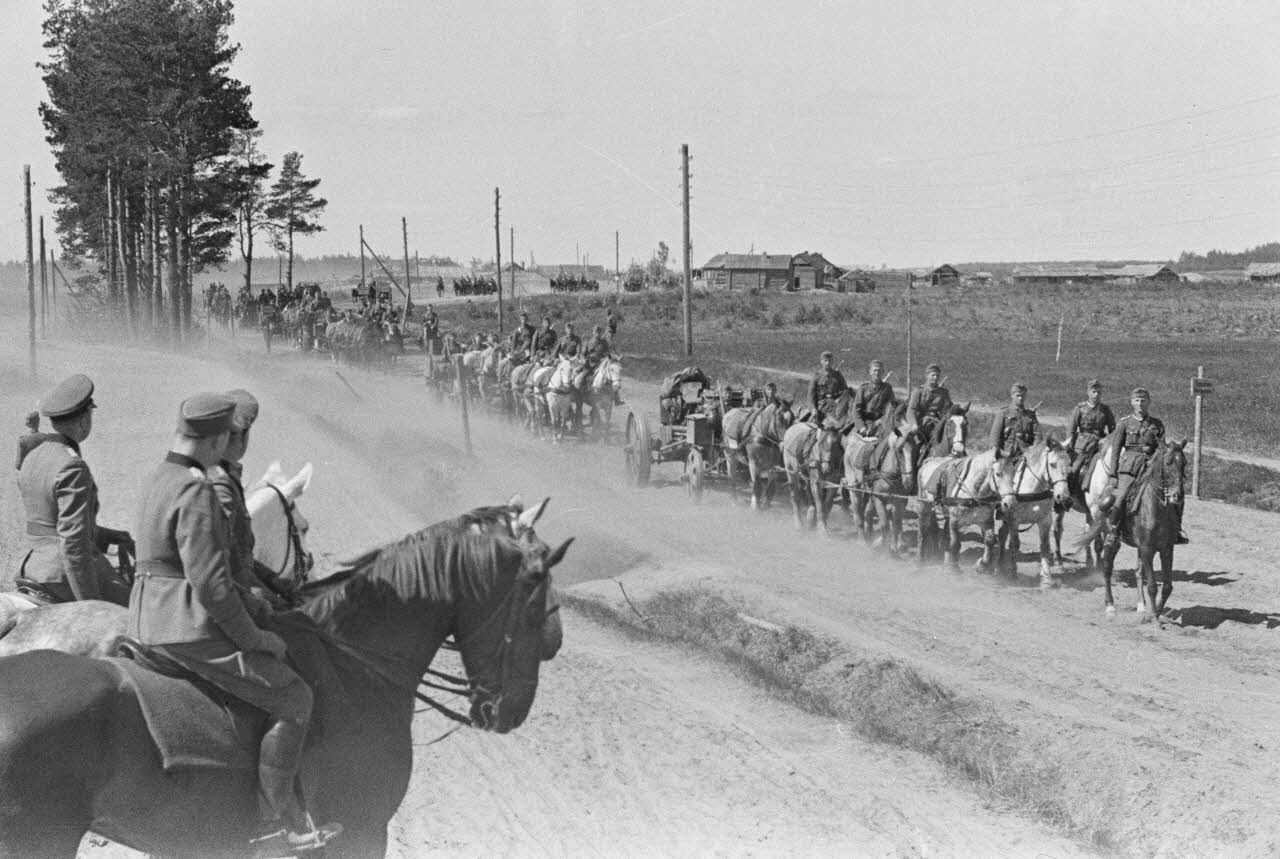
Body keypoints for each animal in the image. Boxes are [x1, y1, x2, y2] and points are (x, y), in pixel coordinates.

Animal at [840, 405, 918, 551]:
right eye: (899, 450)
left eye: (916, 449)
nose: (909, 482)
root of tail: (852, 442)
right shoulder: (878, 498)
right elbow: (885, 525)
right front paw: (884, 547)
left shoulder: (898, 500)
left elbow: (896, 524)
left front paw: (894, 547)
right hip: (855, 489)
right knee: (858, 514)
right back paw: (862, 540)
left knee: (867, 513)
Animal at [991, 439, 1072, 582]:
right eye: (1052, 464)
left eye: (1069, 463)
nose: (1064, 497)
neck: (1033, 490)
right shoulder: (1014, 520)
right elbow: (1014, 544)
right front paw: (1013, 573)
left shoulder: (1045, 520)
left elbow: (1044, 546)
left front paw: (1046, 576)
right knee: (1002, 536)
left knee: (1001, 534)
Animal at [1078, 441, 1187, 619]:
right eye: (1168, 462)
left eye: (1184, 463)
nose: (1178, 495)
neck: (1157, 508)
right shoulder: (1147, 548)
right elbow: (1153, 586)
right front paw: (1153, 618)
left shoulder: (1166, 549)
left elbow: (1167, 586)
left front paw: (1156, 612)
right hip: (1113, 539)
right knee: (1107, 568)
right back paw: (1110, 606)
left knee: (1138, 572)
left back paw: (1141, 605)